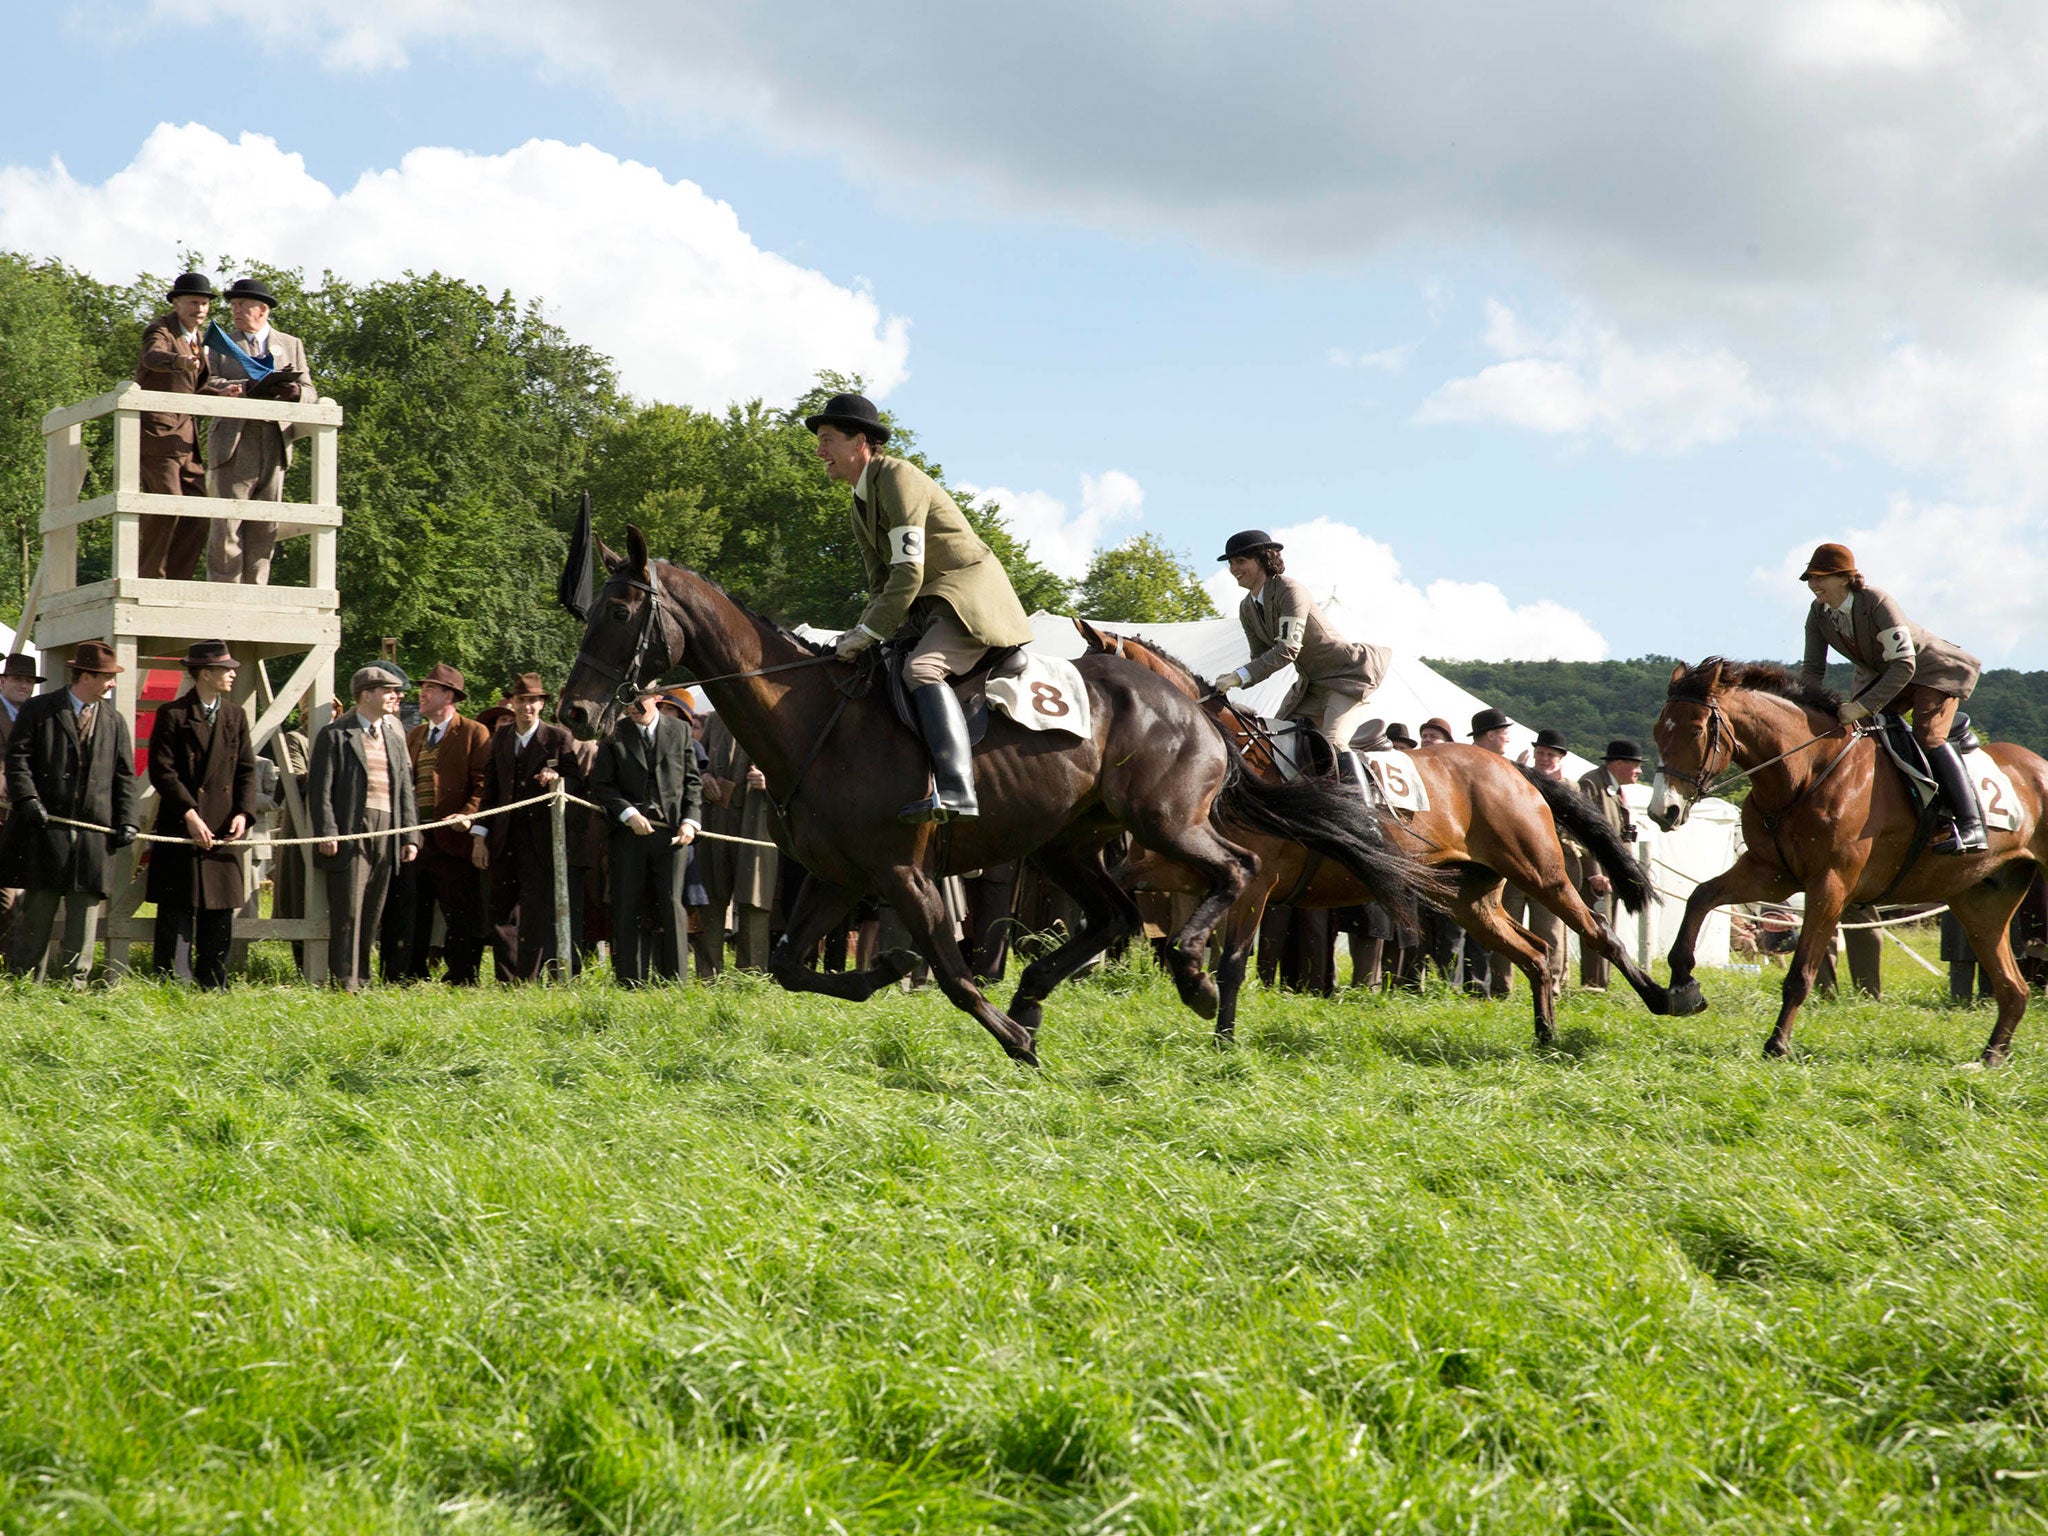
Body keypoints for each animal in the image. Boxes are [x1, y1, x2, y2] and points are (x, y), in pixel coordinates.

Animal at [552, 528, 1433, 1073]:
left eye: (621, 611)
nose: (576, 716)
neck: (813, 720)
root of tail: (1201, 709)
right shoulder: (840, 876)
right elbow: (789, 966)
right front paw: (888, 972)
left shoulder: (901, 874)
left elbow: (952, 973)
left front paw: (1010, 1039)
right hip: (1070, 843)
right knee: (1114, 916)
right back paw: (1046, 993)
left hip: (1165, 823)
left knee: (1236, 873)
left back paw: (1187, 977)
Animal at [1081, 622, 1671, 1048]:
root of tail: (1515, 769)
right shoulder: (1177, 867)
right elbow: (1124, 886)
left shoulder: (1254, 883)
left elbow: (1231, 964)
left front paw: (1219, 1033)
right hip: (1468, 897)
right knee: (1534, 953)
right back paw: (1545, 1038)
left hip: (1540, 871)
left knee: (1597, 931)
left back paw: (1667, 997)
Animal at [1646, 663, 2048, 1073]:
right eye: (1658, 730)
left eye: (1696, 730)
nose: (1664, 812)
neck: (1804, 774)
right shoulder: (1769, 874)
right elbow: (1700, 896)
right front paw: (1681, 985)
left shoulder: (1829, 885)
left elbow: (1800, 973)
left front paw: (1778, 1044)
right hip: (1979, 903)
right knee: (2013, 988)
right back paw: (1991, 1056)